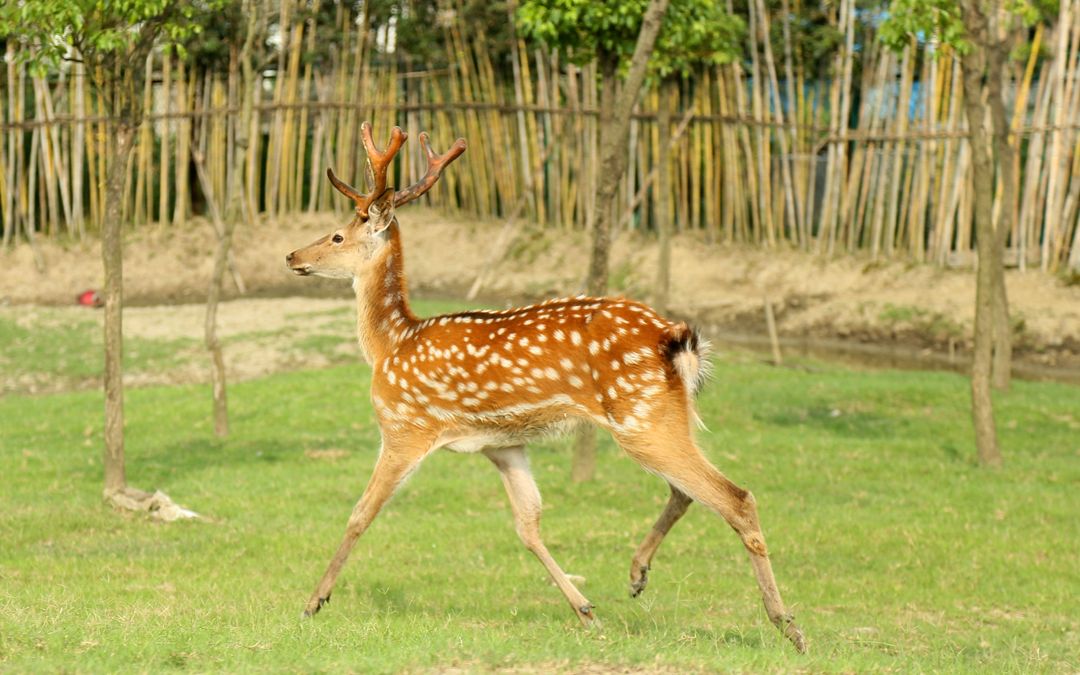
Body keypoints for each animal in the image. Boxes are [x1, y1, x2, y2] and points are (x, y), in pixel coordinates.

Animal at [282, 122, 807, 652]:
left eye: (337, 234)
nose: (292, 255)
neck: (391, 344)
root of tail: (677, 338)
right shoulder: (502, 444)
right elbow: (528, 524)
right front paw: (586, 611)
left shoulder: (404, 426)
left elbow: (360, 513)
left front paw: (313, 602)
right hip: (665, 412)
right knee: (686, 492)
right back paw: (637, 575)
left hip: (640, 415)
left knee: (734, 497)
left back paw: (788, 625)